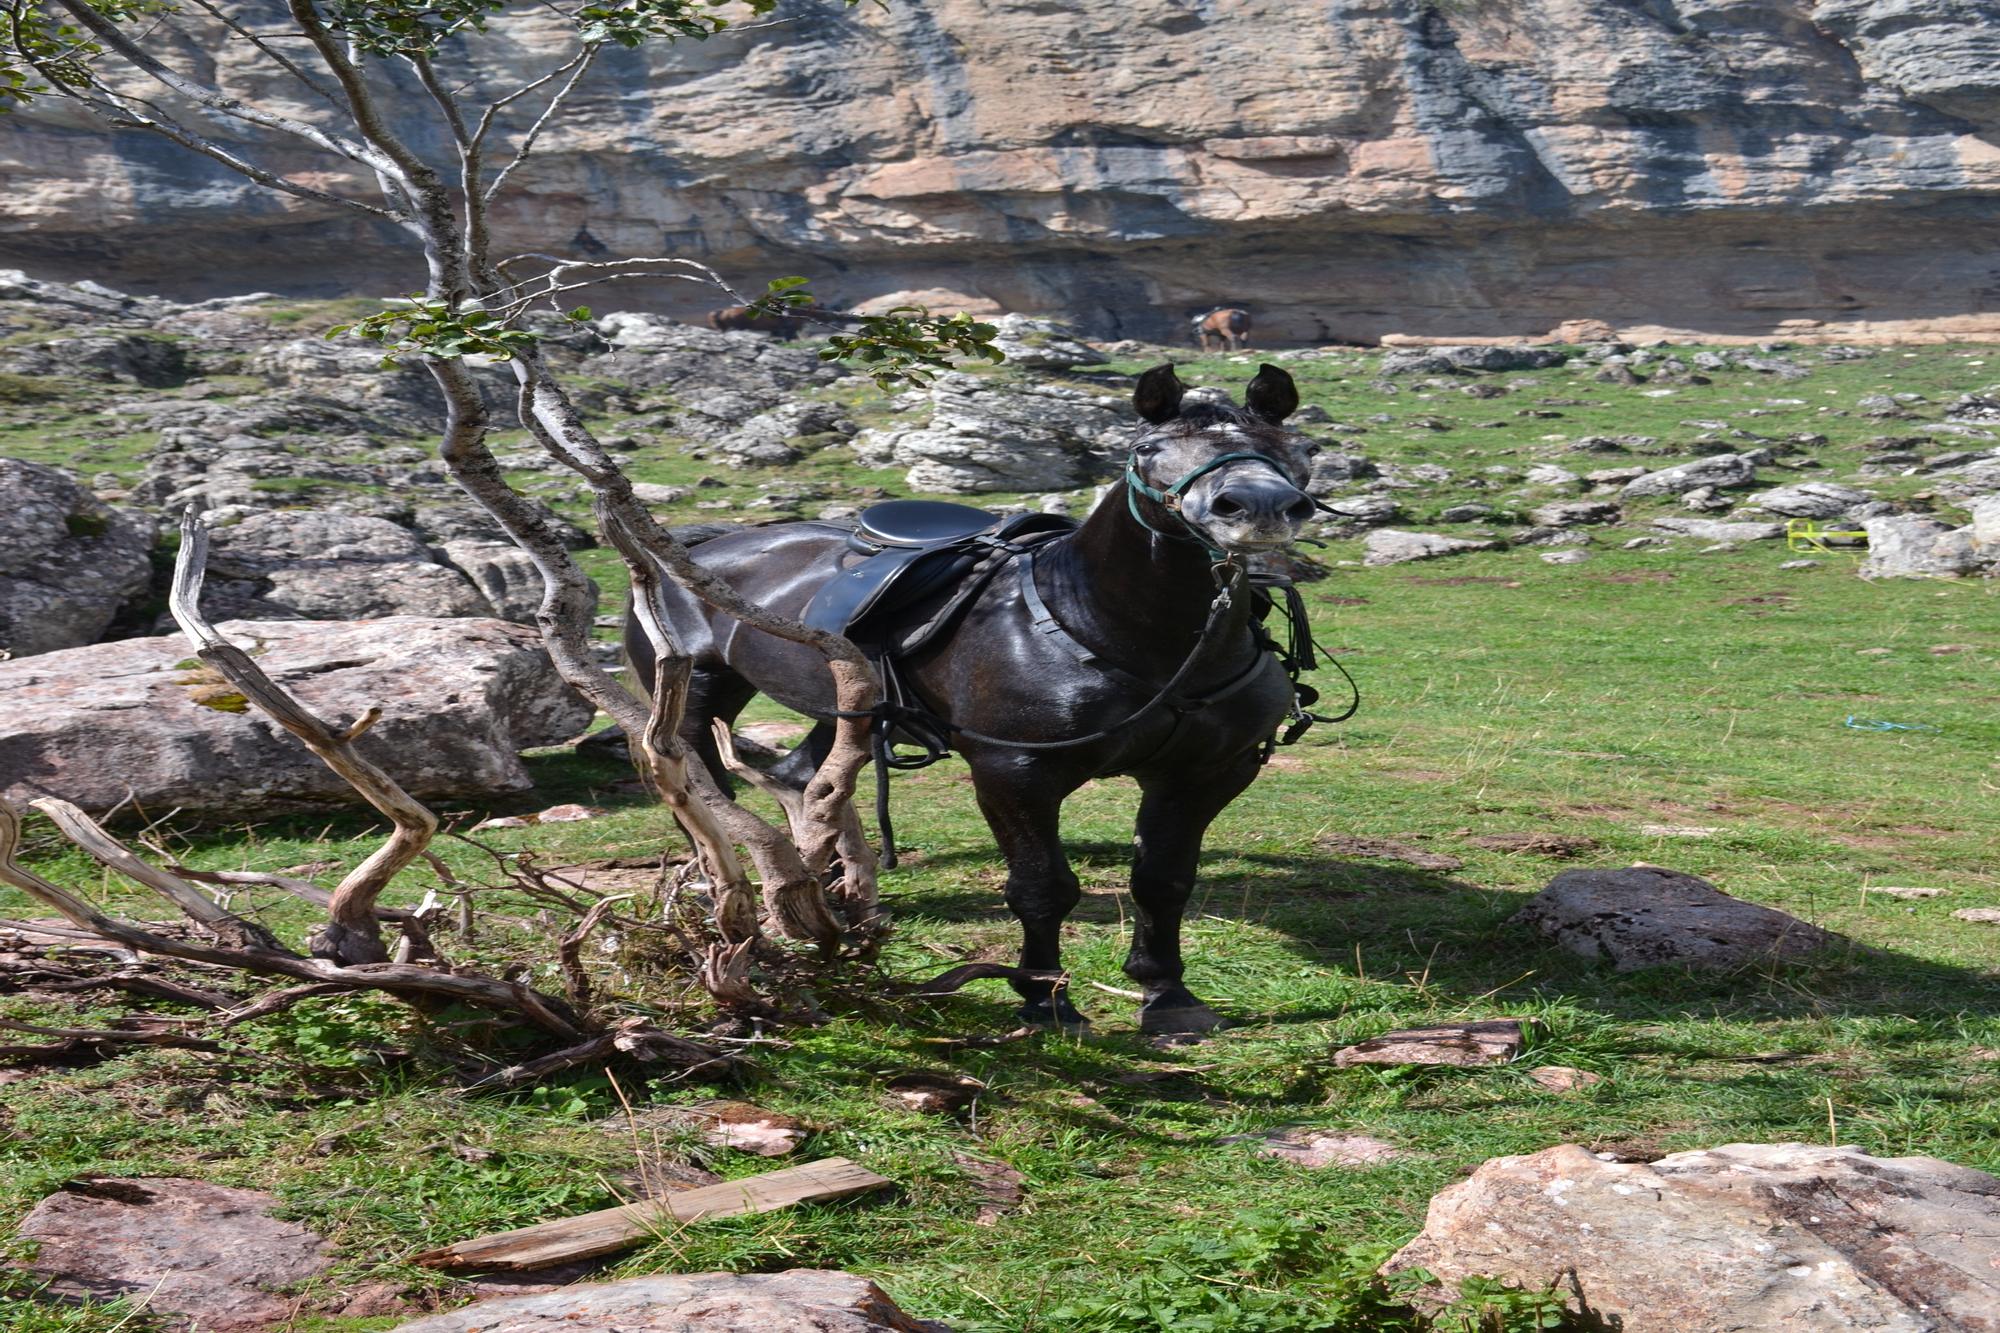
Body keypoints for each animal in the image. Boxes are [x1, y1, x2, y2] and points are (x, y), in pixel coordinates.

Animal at [640, 360, 1320, 1024]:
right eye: (1148, 449)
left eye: (1294, 447)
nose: (1256, 505)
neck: (1123, 631)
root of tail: (704, 545)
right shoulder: (1013, 773)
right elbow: (1042, 887)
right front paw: (1045, 1000)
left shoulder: (1205, 774)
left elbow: (1163, 880)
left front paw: (1166, 993)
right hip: (695, 698)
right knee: (701, 794)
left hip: (839, 716)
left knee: (804, 781)